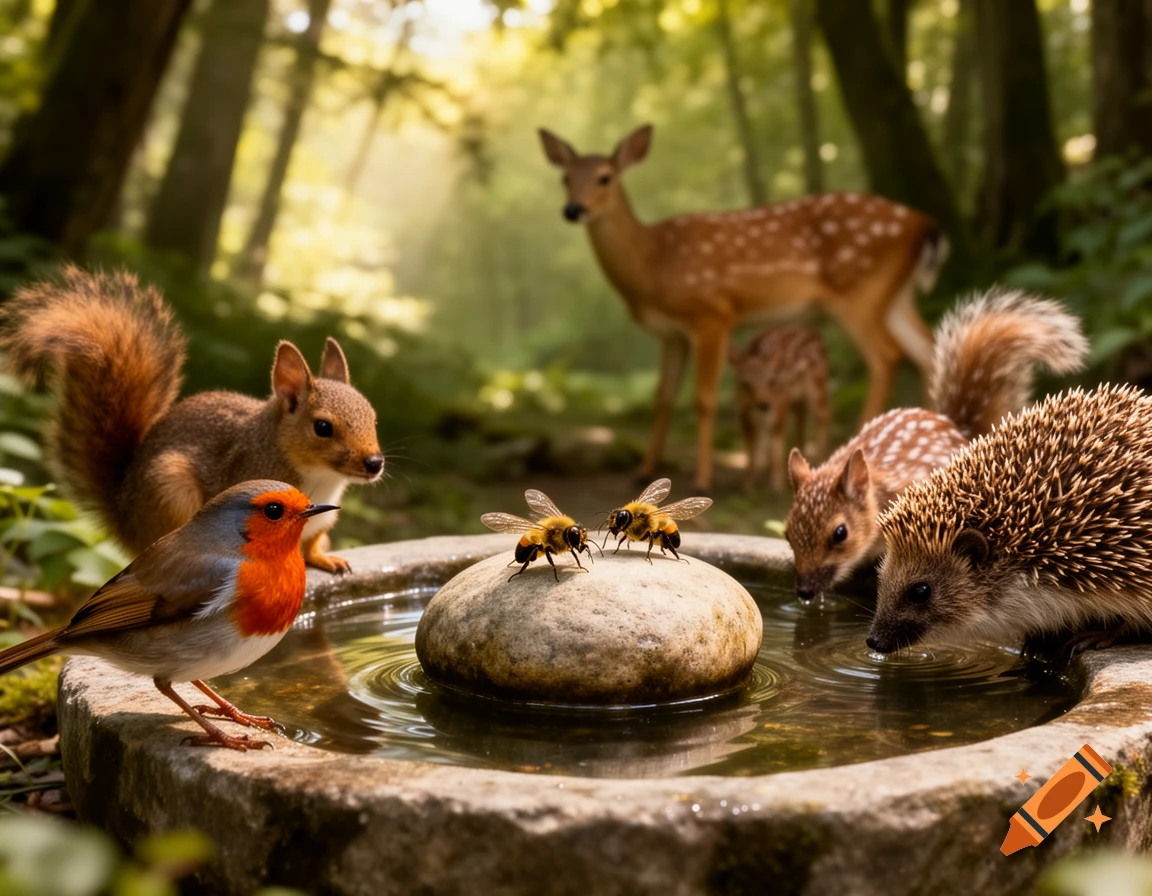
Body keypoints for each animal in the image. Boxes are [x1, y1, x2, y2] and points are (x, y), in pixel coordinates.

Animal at [0, 266, 384, 574]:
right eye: (322, 427)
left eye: (374, 418)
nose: (374, 463)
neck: (321, 477)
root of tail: (126, 521)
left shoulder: (323, 520)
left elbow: (312, 544)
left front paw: (325, 559)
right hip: (171, 496)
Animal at [730, 327, 830, 492]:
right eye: (745, 384)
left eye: (772, 381)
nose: (763, 404)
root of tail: (815, 334)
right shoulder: (743, 413)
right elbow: (751, 448)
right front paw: (749, 484)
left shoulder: (780, 404)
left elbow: (776, 440)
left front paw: (776, 485)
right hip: (797, 400)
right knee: (801, 419)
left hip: (817, 385)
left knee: (824, 416)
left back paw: (820, 459)